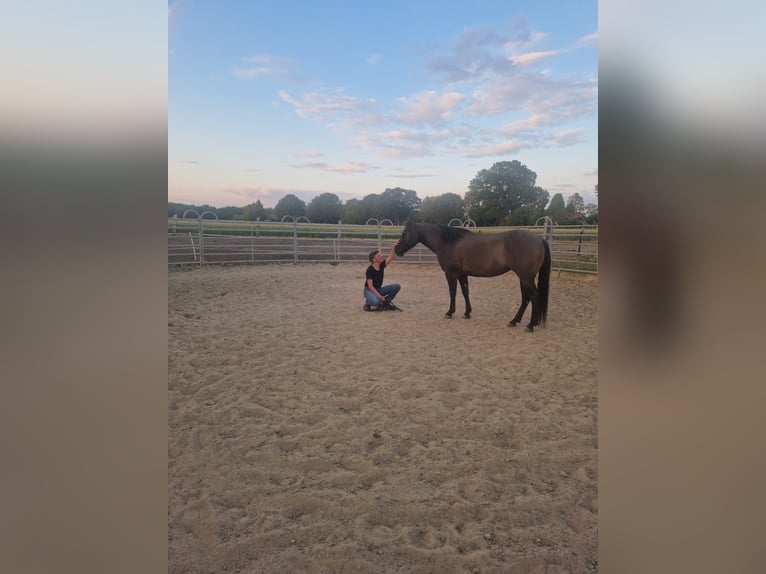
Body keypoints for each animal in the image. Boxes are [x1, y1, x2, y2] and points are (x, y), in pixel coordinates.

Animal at [394, 222, 551, 331]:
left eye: (404, 233)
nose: (396, 250)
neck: (447, 242)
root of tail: (540, 240)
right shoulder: (462, 274)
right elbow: (465, 292)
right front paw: (467, 313)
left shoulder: (450, 273)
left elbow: (452, 292)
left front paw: (449, 313)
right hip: (524, 278)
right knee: (526, 299)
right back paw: (514, 321)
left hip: (526, 278)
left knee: (534, 297)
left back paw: (530, 325)